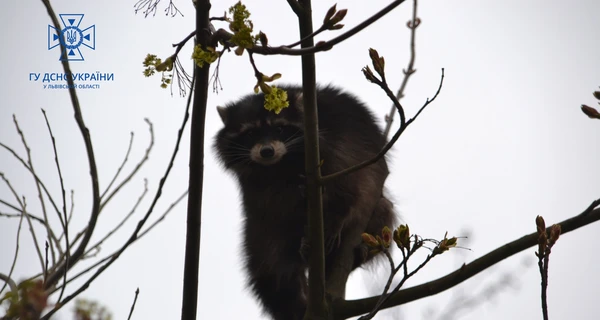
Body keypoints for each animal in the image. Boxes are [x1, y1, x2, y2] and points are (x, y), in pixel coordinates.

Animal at [213, 85, 396, 320]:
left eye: (280, 128)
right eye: (251, 133)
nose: (266, 151)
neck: (281, 164)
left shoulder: (339, 147)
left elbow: (348, 189)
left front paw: (334, 220)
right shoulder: (257, 185)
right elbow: (273, 205)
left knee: (383, 209)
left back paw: (363, 246)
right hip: (264, 229)